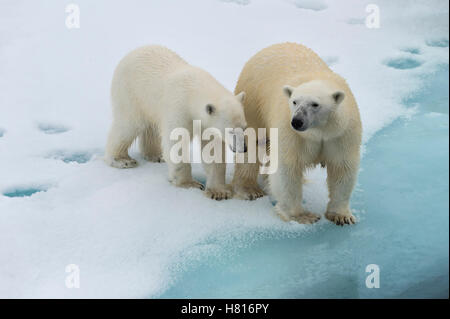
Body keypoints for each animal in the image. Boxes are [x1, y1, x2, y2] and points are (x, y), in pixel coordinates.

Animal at [105, 45, 246, 200]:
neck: (193, 91)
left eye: (244, 128)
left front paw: (218, 192)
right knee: (128, 125)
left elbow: (212, 150)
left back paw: (155, 155)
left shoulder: (207, 124)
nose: (243, 148)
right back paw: (122, 160)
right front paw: (189, 183)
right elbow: (176, 142)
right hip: (130, 93)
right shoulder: (179, 108)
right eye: (230, 131)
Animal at [232, 43, 362, 226]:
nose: (297, 121)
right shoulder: (291, 132)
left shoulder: (341, 133)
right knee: (252, 141)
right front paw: (303, 215)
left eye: (315, 104)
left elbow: (341, 167)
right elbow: (288, 167)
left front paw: (341, 216)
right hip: (253, 100)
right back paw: (249, 189)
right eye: (294, 101)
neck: (318, 132)